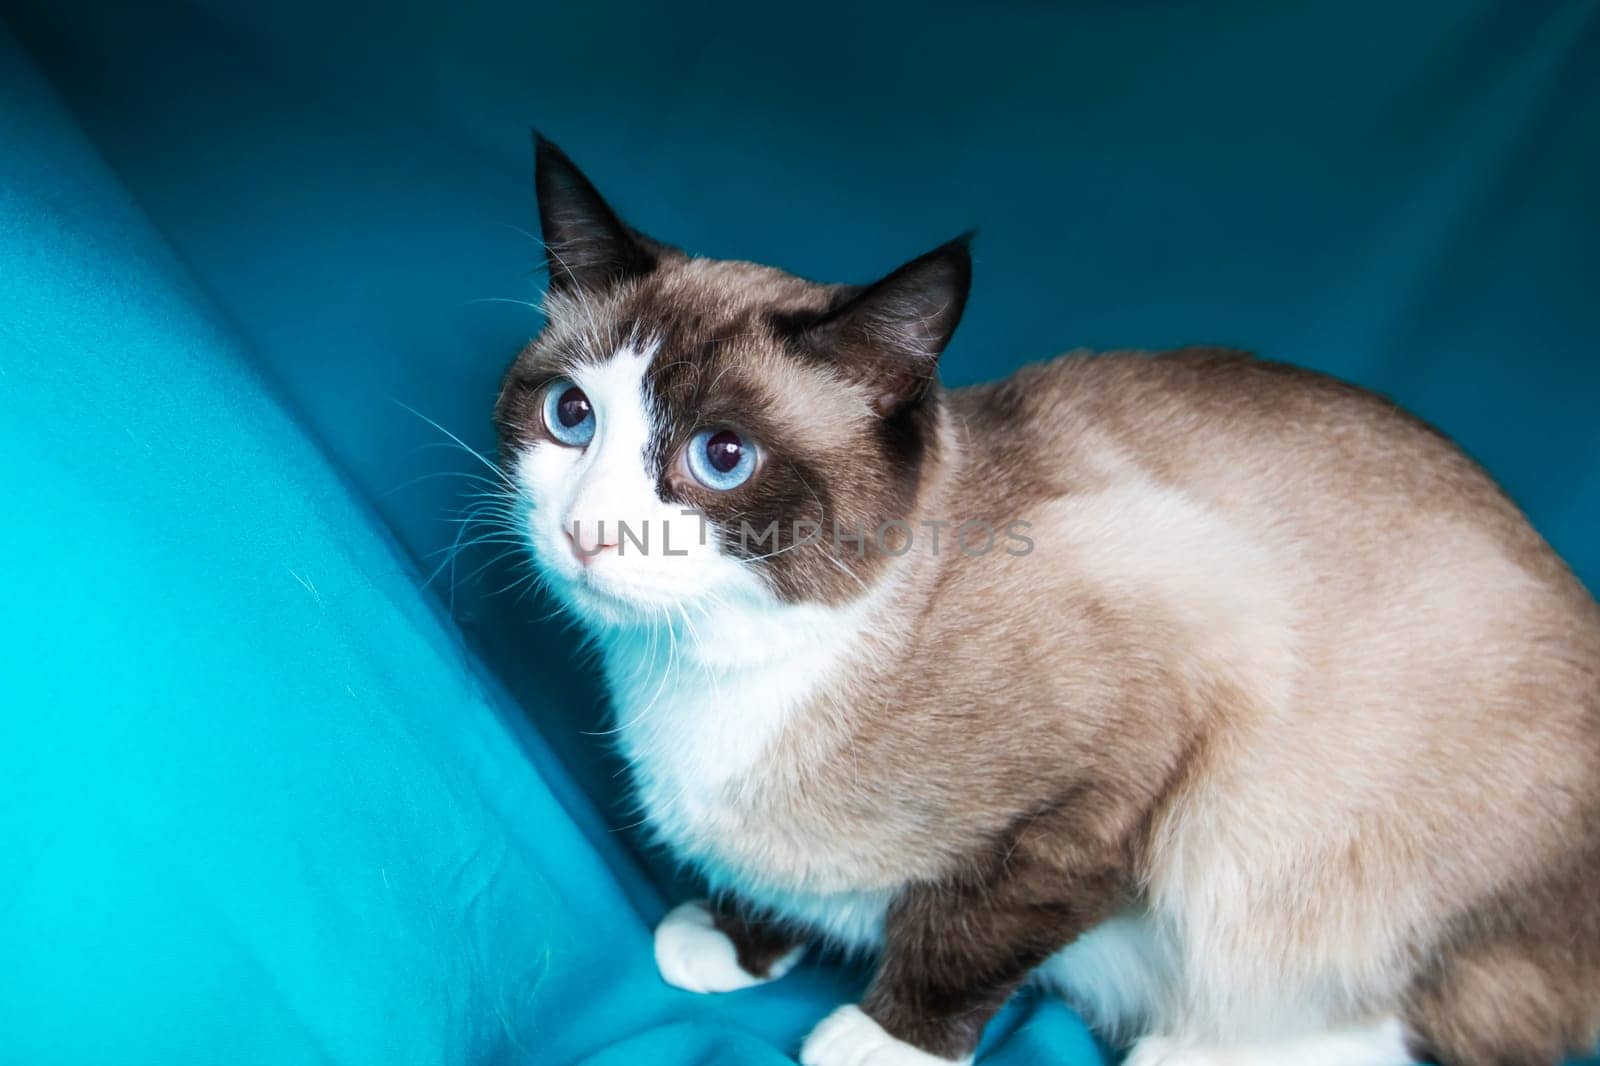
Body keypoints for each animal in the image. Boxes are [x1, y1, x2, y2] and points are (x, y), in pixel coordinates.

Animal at [489, 135, 1600, 1062]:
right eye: (570, 416)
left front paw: (884, 1040)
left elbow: (970, 930)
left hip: (1280, 839)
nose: (587, 532)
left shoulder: (1129, 765)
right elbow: (769, 885)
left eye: (723, 457)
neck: (703, 672)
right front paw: (731, 940)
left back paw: (1194, 1050)